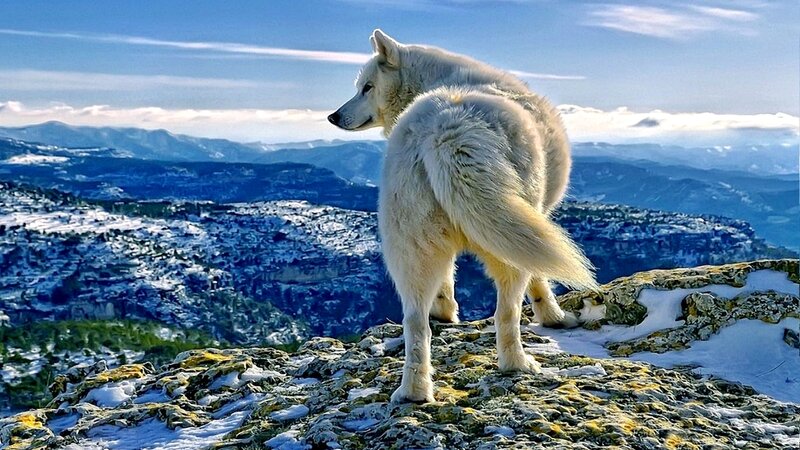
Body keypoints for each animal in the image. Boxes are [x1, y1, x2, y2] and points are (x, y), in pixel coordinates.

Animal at [329, 30, 598, 403]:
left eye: (366, 87)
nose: (333, 116)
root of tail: (446, 128)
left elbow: (447, 281)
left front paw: (444, 311)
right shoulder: (534, 219)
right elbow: (540, 280)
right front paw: (554, 317)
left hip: (411, 246)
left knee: (415, 322)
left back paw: (414, 390)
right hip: (506, 240)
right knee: (506, 312)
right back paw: (518, 364)